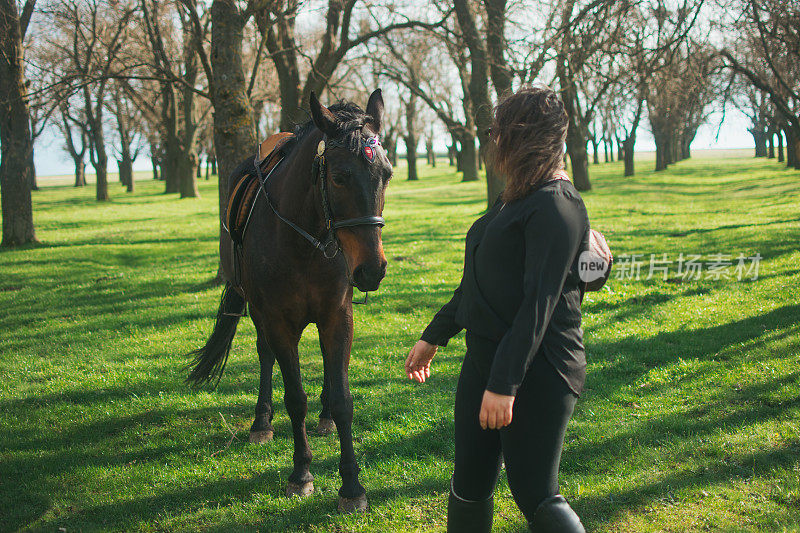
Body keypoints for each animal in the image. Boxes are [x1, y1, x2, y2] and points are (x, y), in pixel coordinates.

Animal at [184, 90, 390, 512]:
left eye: (387, 174)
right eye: (339, 177)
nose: (372, 270)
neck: (304, 239)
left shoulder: (337, 317)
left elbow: (343, 398)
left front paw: (351, 485)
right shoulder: (277, 320)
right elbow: (295, 397)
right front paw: (301, 473)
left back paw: (324, 418)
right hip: (258, 312)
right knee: (265, 356)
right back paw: (262, 422)